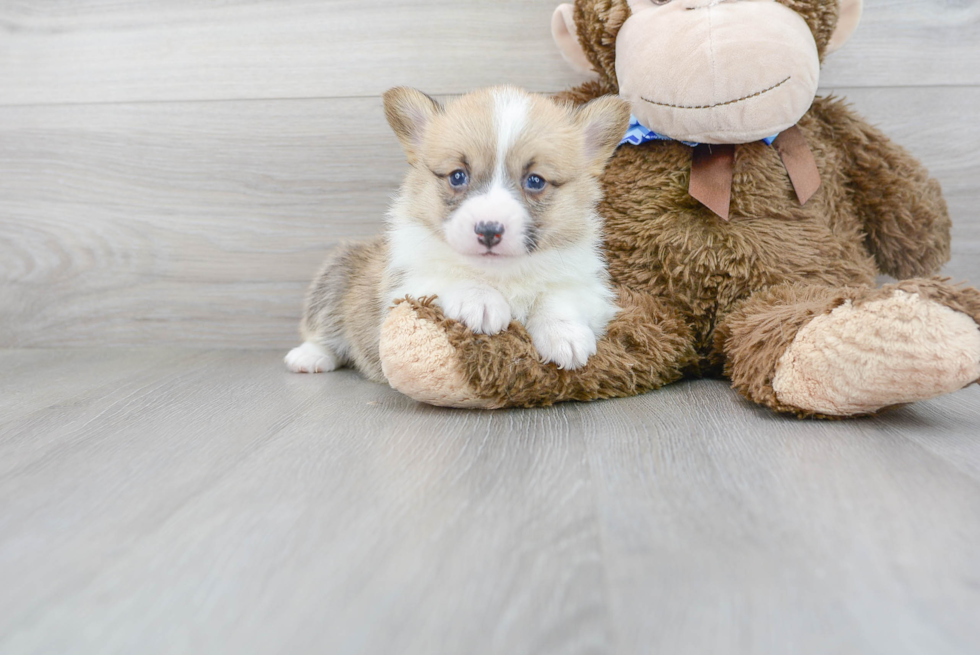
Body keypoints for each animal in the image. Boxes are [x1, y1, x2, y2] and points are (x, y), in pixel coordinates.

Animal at [288, 88, 632, 384]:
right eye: (457, 176)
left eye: (535, 181)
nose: (489, 230)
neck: (500, 274)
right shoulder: (406, 285)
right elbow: (448, 276)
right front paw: (480, 301)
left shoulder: (588, 288)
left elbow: (558, 297)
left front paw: (565, 336)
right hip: (335, 278)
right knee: (324, 331)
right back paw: (308, 357)